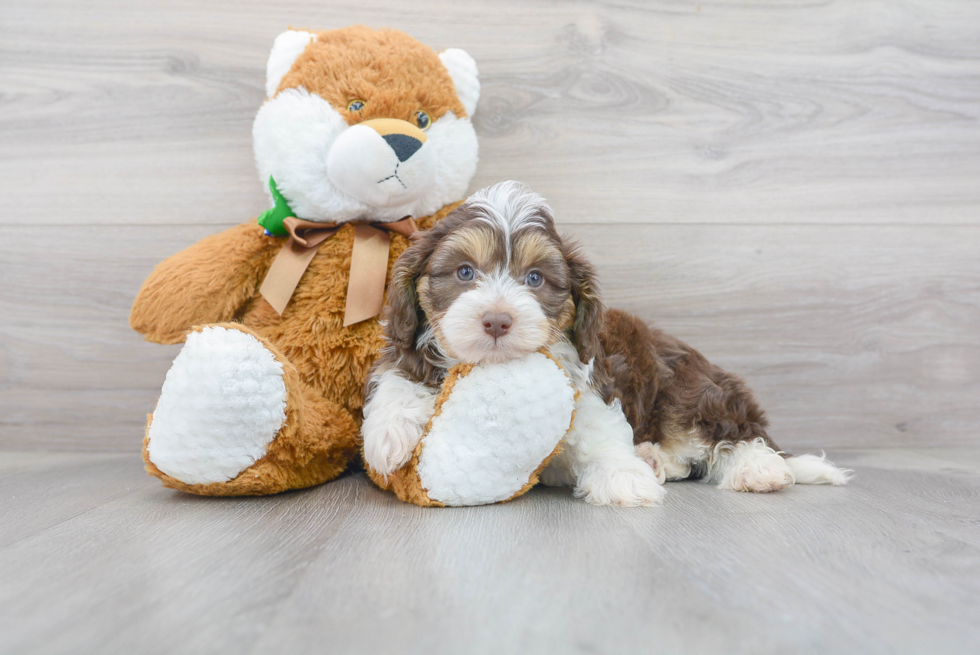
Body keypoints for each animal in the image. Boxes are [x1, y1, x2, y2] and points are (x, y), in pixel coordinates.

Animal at [360, 181, 848, 508]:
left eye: (535, 278)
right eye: (464, 272)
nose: (497, 320)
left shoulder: (590, 378)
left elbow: (598, 431)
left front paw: (622, 478)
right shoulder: (410, 345)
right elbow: (399, 372)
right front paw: (387, 434)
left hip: (689, 389)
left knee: (730, 431)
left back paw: (756, 468)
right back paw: (657, 459)